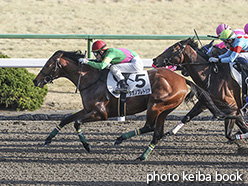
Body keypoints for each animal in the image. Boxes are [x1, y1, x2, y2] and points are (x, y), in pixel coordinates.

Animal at [33, 50, 223, 161]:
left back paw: (120, 139)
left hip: (156, 105)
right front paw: (48, 139)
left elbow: (76, 122)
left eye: (49, 64)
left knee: (149, 127)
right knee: (157, 133)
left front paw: (87, 146)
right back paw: (142, 156)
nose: (35, 81)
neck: (91, 79)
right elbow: (65, 119)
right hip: (165, 109)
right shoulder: (87, 109)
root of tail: (183, 79)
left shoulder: (101, 113)